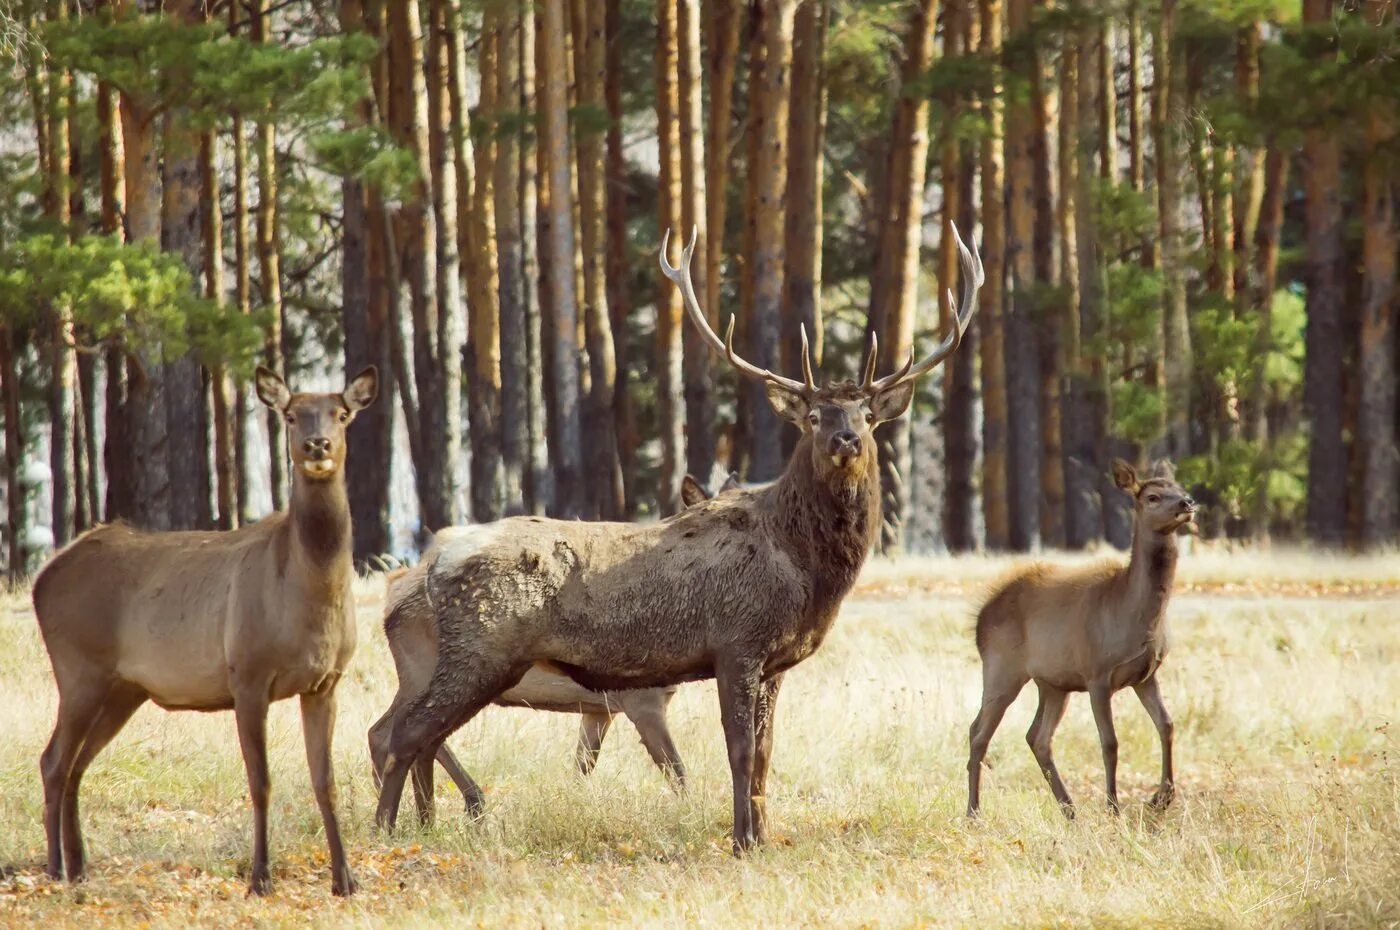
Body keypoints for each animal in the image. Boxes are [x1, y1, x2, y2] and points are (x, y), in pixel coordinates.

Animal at [372, 224, 985, 851]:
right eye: (813, 416)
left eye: (867, 415)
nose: (845, 439)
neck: (806, 572)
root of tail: (433, 562)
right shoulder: (736, 642)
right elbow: (739, 753)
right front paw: (741, 842)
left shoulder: (775, 664)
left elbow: (766, 756)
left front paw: (763, 836)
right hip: (480, 651)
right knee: (405, 735)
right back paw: (383, 833)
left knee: (415, 736)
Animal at [968, 456, 1198, 812]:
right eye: (1152, 496)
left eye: (1180, 488)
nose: (1187, 503)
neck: (1135, 616)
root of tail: (981, 617)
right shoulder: (1097, 673)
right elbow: (1110, 742)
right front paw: (1113, 806)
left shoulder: (1146, 675)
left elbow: (1167, 725)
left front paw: (1162, 796)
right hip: (1001, 668)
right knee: (980, 733)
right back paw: (974, 812)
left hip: (1052, 683)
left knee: (1036, 737)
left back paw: (1069, 809)